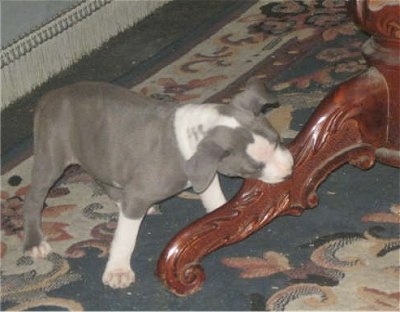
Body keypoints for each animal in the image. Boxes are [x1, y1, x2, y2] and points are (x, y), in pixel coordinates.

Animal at [23, 77, 294, 288]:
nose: (290, 171)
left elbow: (215, 201)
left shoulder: (204, 175)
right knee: (34, 198)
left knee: (105, 181)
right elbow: (125, 235)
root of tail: (50, 95)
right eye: (254, 168)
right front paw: (118, 270)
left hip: (100, 154)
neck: (191, 135)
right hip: (51, 155)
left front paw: (228, 220)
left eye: (278, 140)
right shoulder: (138, 194)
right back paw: (35, 243)